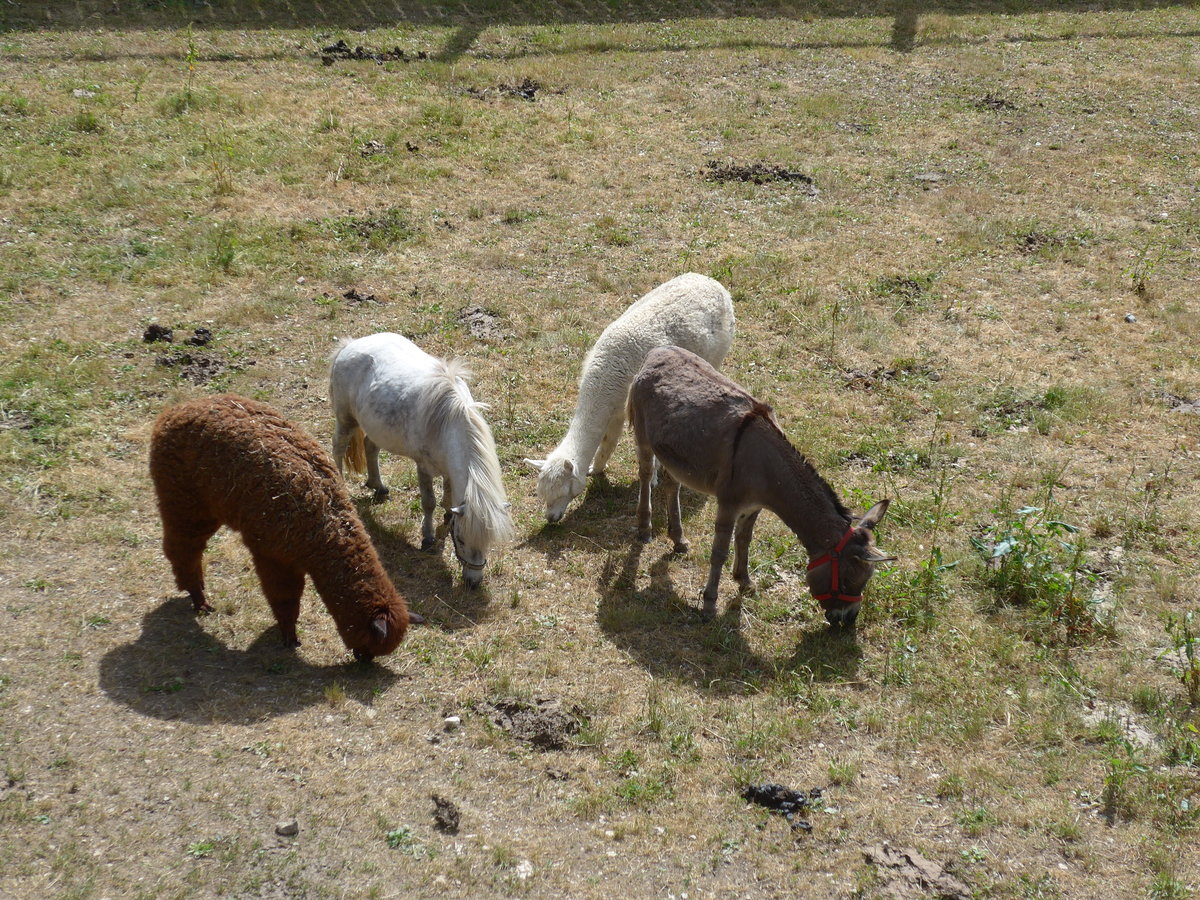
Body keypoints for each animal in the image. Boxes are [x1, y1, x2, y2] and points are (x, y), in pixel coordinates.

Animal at [330, 333, 514, 588]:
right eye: (461, 540)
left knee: (370, 447)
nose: (473, 582)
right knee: (338, 447)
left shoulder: (448, 470)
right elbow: (429, 502)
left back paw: (378, 486)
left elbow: (448, 497)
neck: (447, 422)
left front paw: (447, 516)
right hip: (345, 420)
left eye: (488, 541)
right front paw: (427, 537)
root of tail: (349, 345)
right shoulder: (424, 468)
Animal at [524, 272, 735, 523]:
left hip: (717, 354)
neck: (605, 379)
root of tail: (713, 281)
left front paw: (652, 480)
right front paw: (596, 469)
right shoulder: (614, 411)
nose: (551, 519)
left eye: (565, 491)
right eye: (541, 494)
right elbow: (608, 442)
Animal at [627, 346, 894, 626]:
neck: (767, 467)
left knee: (672, 484)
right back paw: (644, 527)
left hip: (676, 453)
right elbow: (719, 552)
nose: (848, 620)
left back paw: (678, 539)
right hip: (643, 436)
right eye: (848, 579)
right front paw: (709, 604)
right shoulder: (728, 504)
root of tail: (660, 350)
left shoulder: (754, 506)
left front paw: (744, 581)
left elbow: (745, 540)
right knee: (646, 475)